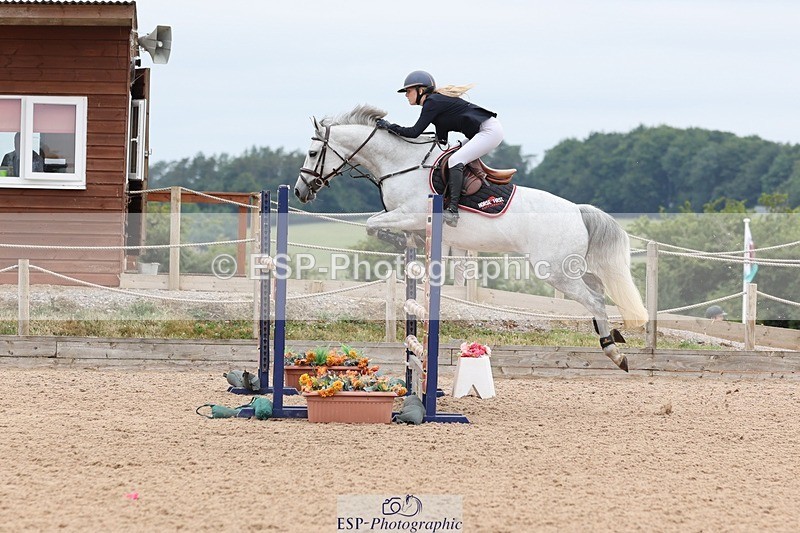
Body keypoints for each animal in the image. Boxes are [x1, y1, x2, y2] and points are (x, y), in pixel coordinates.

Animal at [294, 104, 647, 371]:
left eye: (312, 153)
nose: (300, 191)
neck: (402, 164)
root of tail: (577, 210)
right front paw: (405, 245)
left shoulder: (412, 214)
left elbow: (371, 224)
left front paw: (393, 241)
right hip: (571, 266)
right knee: (599, 288)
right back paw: (614, 336)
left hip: (554, 271)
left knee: (595, 299)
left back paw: (614, 352)